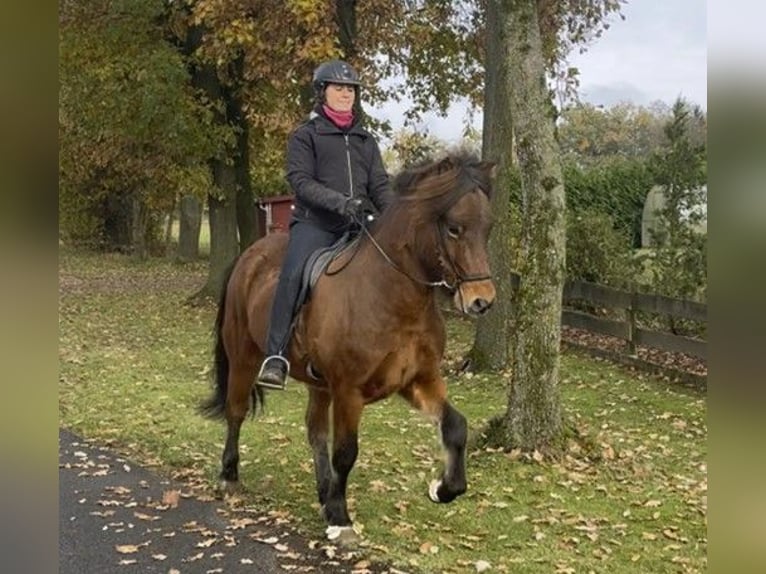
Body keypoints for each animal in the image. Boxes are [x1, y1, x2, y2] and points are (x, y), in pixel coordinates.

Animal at [202, 153, 498, 544]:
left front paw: (443, 489)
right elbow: (346, 452)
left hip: (318, 383)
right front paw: (341, 519)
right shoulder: (348, 390)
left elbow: (456, 426)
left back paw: (323, 492)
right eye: (453, 228)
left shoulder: (417, 381)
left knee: (314, 430)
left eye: (488, 227)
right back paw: (230, 478)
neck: (394, 297)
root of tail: (250, 254)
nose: (482, 301)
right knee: (236, 412)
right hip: (244, 358)